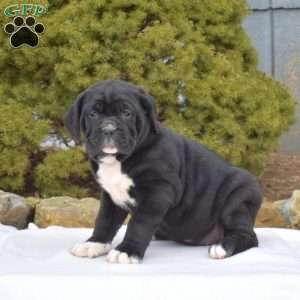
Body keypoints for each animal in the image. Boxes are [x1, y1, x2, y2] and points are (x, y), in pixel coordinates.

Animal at [64, 80, 262, 264]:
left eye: (127, 113)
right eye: (93, 114)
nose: (108, 128)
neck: (119, 161)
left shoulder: (157, 192)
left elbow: (139, 223)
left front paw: (127, 250)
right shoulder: (111, 195)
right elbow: (104, 221)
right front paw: (94, 243)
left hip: (238, 199)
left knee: (249, 236)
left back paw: (222, 246)